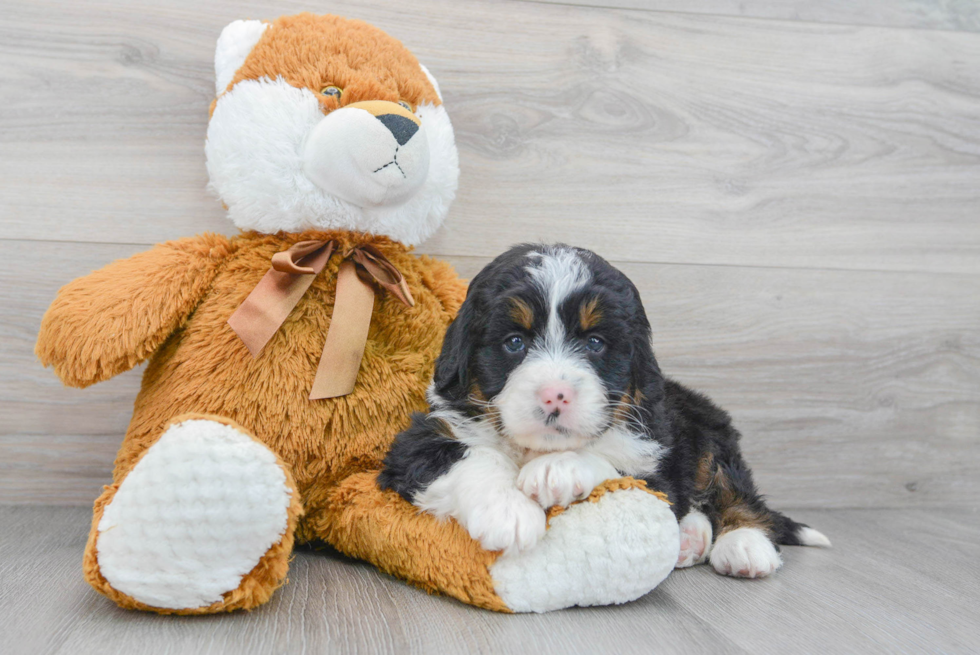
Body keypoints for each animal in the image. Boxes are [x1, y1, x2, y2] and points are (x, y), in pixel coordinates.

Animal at [378, 245, 832, 580]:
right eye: (514, 342)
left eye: (595, 343)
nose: (555, 395)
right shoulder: (418, 443)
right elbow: (472, 458)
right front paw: (508, 511)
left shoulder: (655, 463)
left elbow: (610, 463)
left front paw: (557, 470)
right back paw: (691, 538)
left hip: (711, 433)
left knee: (736, 491)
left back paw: (745, 546)